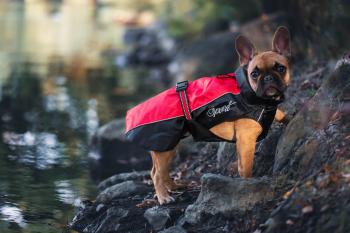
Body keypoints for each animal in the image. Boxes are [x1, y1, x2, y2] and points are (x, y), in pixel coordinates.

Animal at [124, 26, 292, 204]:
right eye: (254, 74)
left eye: (281, 68)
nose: (268, 78)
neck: (248, 92)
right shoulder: (246, 140)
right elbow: (246, 167)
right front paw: (249, 185)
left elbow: (280, 113)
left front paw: (289, 118)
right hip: (164, 149)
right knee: (156, 174)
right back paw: (164, 197)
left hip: (169, 148)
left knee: (161, 171)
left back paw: (173, 186)